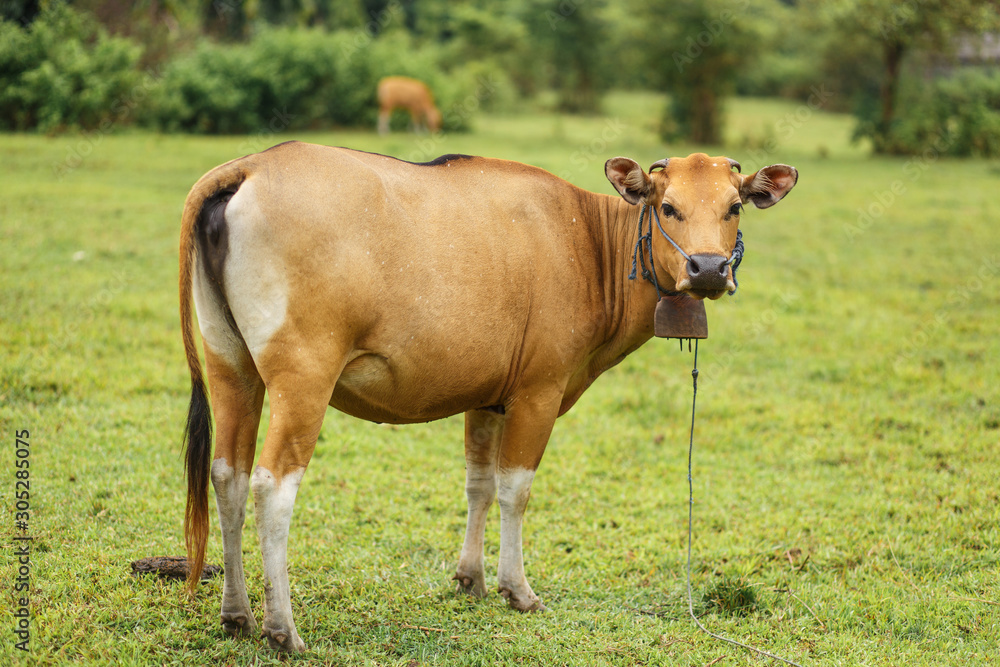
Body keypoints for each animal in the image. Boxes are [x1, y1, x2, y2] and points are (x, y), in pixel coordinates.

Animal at [176, 142, 792, 652]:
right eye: (668, 208)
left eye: (733, 207)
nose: (707, 268)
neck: (588, 241)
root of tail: (252, 166)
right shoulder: (538, 393)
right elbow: (514, 489)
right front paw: (516, 588)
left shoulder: (485, 399)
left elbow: (478, 483)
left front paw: (469, 577)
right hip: (304, 379)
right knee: (272, 485)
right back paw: (282, 628)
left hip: (231, 366)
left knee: (228, 475)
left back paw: (237, 614)